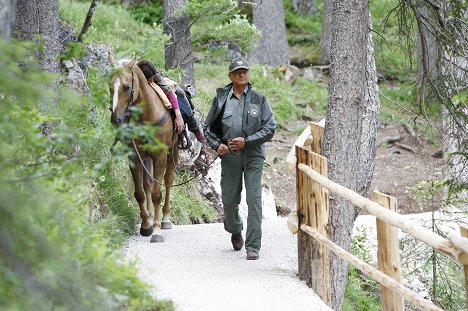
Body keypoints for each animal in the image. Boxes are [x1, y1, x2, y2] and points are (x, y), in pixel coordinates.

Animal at [107, 53, 177, 244]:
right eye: (110, 86)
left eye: (126, 86)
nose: (116, 120)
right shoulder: (134, 156)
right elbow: (140, 192)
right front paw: (146, 225)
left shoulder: (160, 156)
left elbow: (157, 194)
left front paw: (157, 231)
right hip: (146, 158)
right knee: (148, 185)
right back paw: (152, 218)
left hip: (171, 153)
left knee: (168, 180)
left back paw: (165, 219)